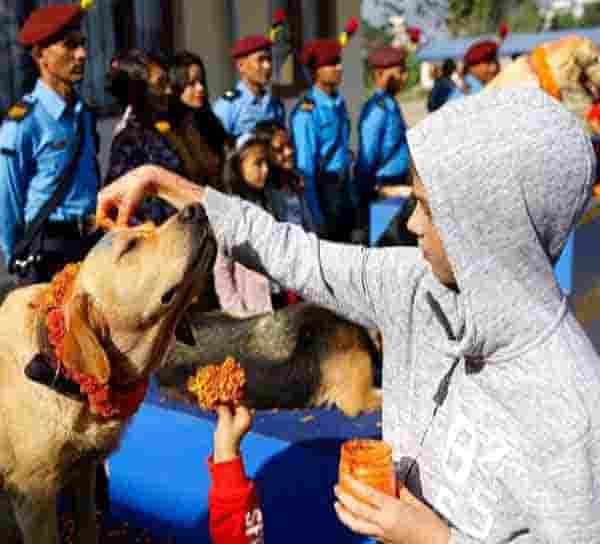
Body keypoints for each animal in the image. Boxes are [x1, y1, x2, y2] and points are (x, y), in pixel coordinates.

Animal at [0, 204, 216, 544]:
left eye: (152, 225)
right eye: (131, 246)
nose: (196, 208)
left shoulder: (84, 472)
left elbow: (88, 526)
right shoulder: (35, 498)